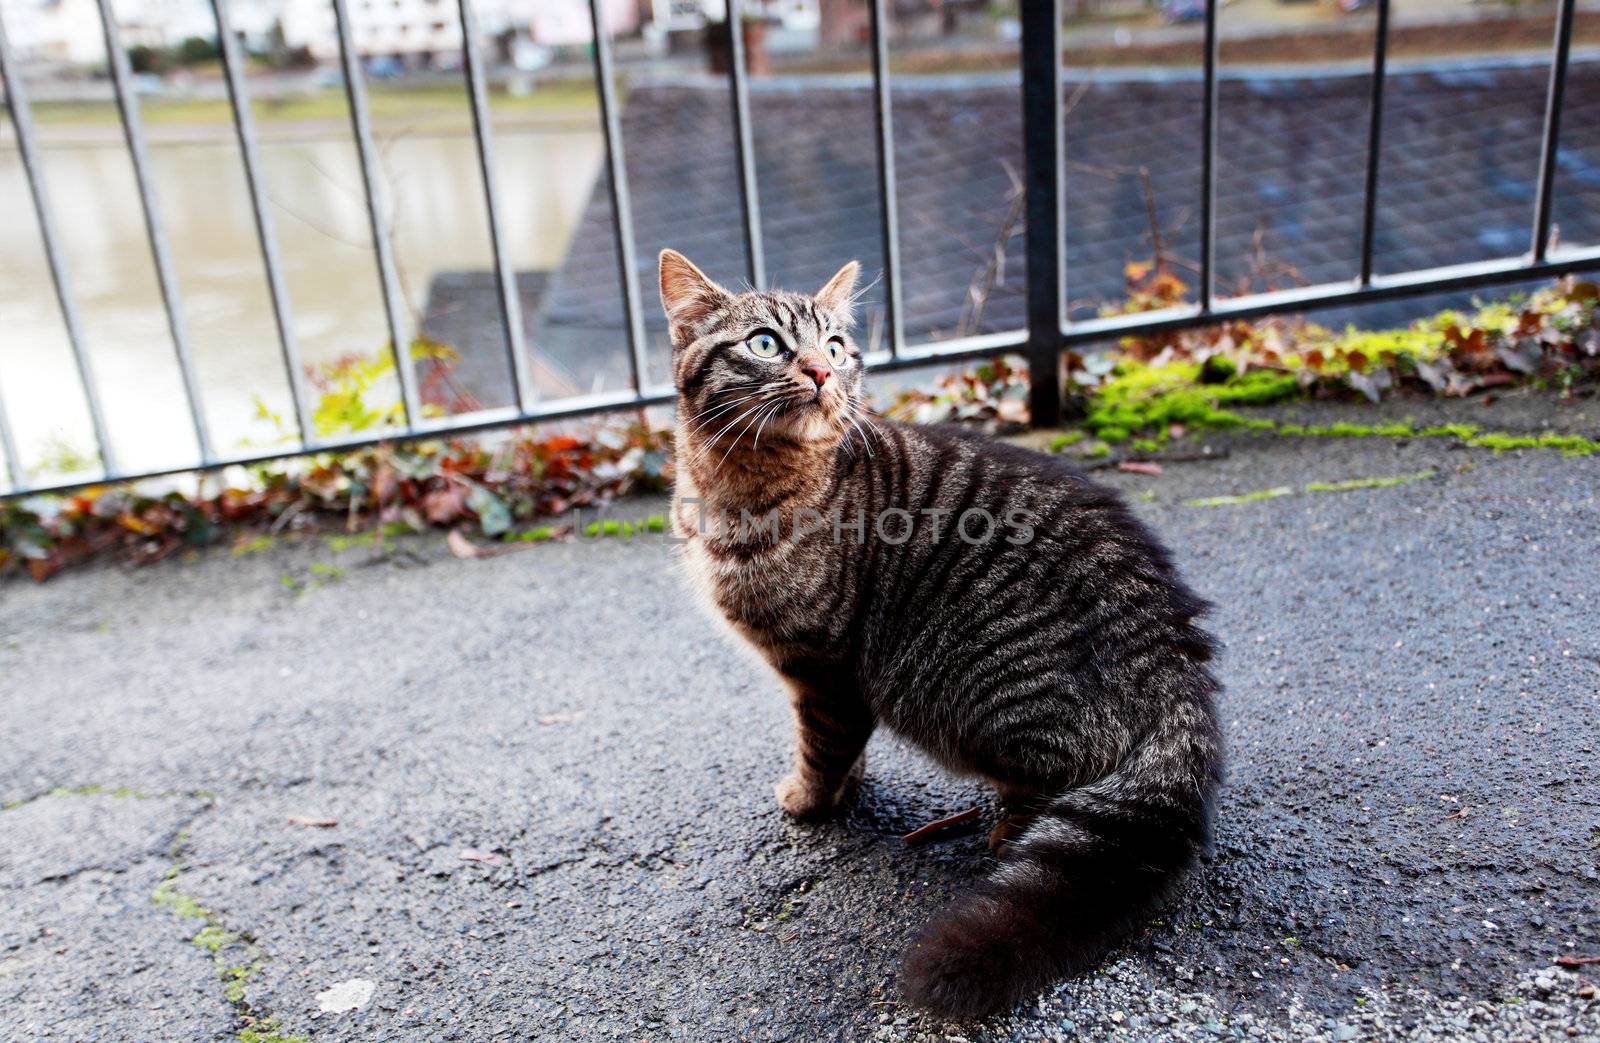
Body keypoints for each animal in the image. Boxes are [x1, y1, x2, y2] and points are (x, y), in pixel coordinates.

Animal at [659, 251, 1222, 1017]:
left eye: (835, 346)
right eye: (766, 343)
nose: (822, 372)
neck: (735, 491)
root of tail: (1173, 653)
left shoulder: (824, 666)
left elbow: (822, 745)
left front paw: (810, 800)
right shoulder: (831, 679)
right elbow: (843, 747)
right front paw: (845, 787)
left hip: (980, 696)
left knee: (1064, 783)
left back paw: (1011, 830)